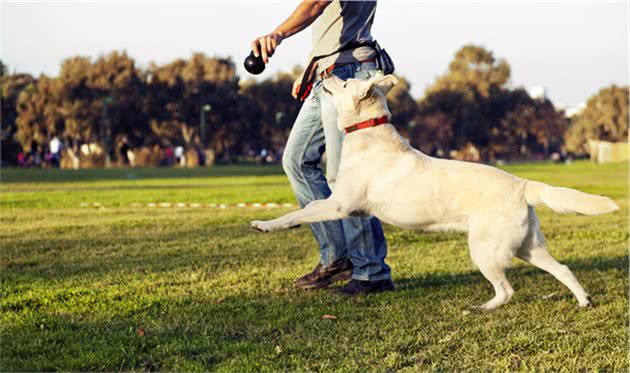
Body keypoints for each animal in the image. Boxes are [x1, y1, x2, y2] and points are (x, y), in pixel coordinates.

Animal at [251, 72, 616, 308]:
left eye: (343, 83)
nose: (324, 73)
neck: (369, 133)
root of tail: (522, 184)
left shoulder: (339, 204)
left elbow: (301, 212)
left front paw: (266, 224)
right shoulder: (340, 205)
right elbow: (306, 213)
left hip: (485, 250)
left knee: (506, 290)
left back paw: (482, 308)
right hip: (527, 247)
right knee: (562, 269)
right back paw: (582, 300)